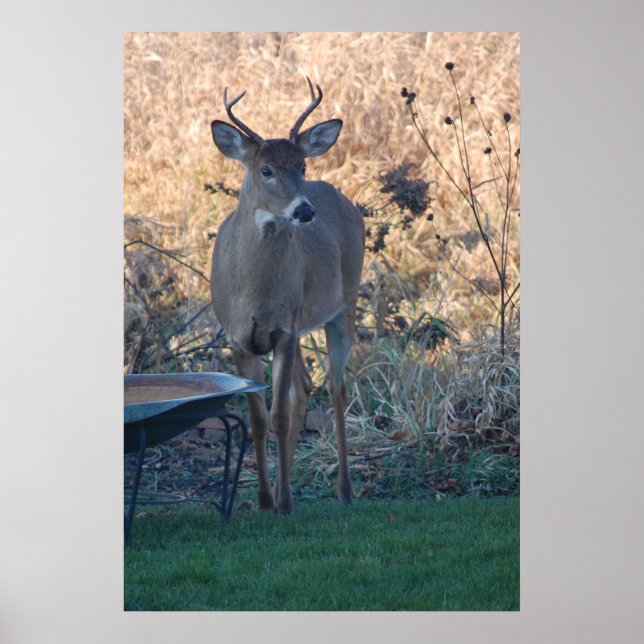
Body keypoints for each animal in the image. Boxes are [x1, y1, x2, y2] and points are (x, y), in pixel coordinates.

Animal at [209, 78, 365, 514]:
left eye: (302, 167)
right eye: (266, 170)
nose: (304, 210)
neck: (255, 295)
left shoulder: (283, 330)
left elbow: (277, 416)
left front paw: (281, 503)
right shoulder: (240, 337)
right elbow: (259, 420)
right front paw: (265, 500)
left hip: (343, 305)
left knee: (335, 388)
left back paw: (343, 490)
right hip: (301, 326)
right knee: (304, 391)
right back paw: (285, 488)